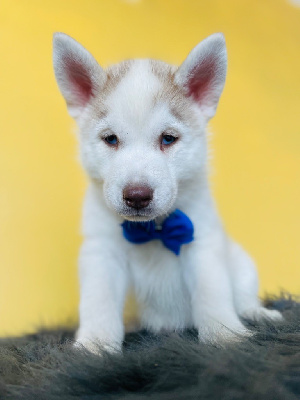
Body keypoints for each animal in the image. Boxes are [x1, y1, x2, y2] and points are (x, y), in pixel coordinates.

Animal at [52, 33, 282, 354]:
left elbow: (213, 296)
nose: (137, 195)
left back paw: (258, 314)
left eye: (168, 139)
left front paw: (225, 337)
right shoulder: (102, 252)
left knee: (244, 298)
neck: (153, 230)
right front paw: (95, 345)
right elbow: (99, 302)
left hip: (242, 263)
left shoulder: (202, 245)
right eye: (111, 139)